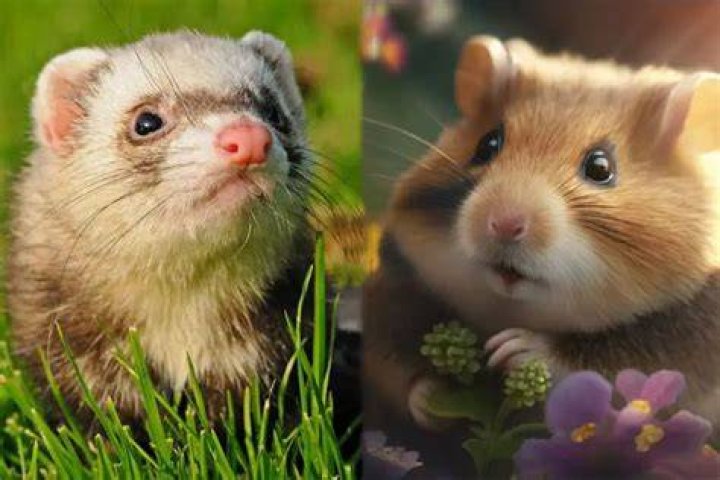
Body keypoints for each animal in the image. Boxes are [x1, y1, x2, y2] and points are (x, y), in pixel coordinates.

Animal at [364, 35, 720, 432]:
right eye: (487, 145)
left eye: (601, 167)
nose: (504, 224)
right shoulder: (392, 297)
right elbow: (399, 369)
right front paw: (432, 400)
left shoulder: (685, 344)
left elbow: (605, 364)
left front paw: (512, 349)